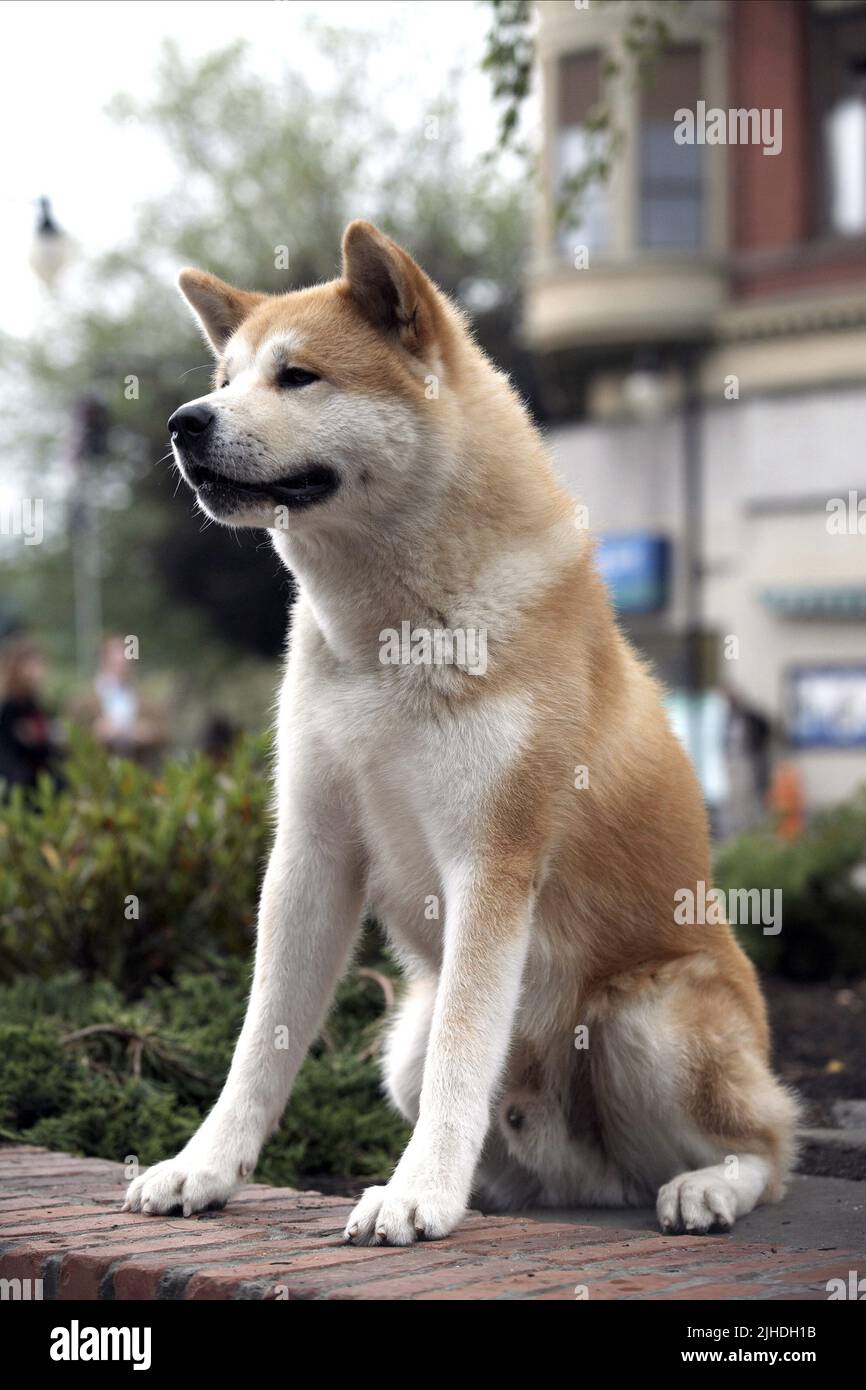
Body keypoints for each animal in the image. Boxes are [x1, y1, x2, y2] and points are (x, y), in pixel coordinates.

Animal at [123, 222, 800, 1245]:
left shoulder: (493, 859)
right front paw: (203, 1168)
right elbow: (260, 1045)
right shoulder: (312, 853)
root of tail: (590, 1183)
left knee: (768, 1148)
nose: (183, 421)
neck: (389, 638)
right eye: (227, 376)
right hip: (401, 1036)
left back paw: (705, 1187)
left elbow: (463, 1051)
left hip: (649, 1018)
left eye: (297, 377)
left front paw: (418, 1194)